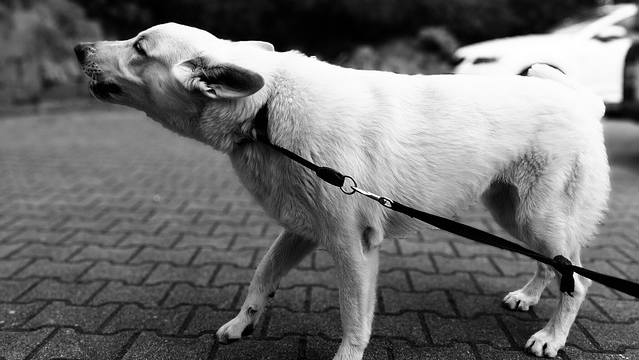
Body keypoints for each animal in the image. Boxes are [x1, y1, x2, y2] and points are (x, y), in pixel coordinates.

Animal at [75, 23, 608, 358]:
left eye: (140, 48)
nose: (79, 49)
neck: (265, 109)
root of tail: (580, 99)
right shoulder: (302, 228)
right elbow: (262, 276)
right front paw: (244, 322)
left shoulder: (352, 245)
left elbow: (354, 318)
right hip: (511, 210)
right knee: (554, 265)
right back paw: (528, 297)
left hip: (535, 215)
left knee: (577, 280)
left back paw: (551, 337)